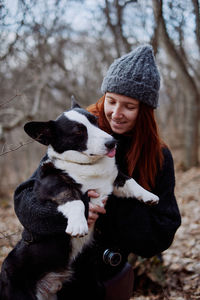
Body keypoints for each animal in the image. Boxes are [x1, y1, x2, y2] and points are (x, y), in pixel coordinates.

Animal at [0, 97, 159, 298]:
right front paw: (78, 225)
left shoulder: (114, 179)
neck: (87, 164)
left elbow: (130, 181)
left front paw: (149, 196)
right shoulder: (53, 186)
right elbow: (74, 199)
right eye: (78, 132)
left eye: (96, 122)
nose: (112, 142)